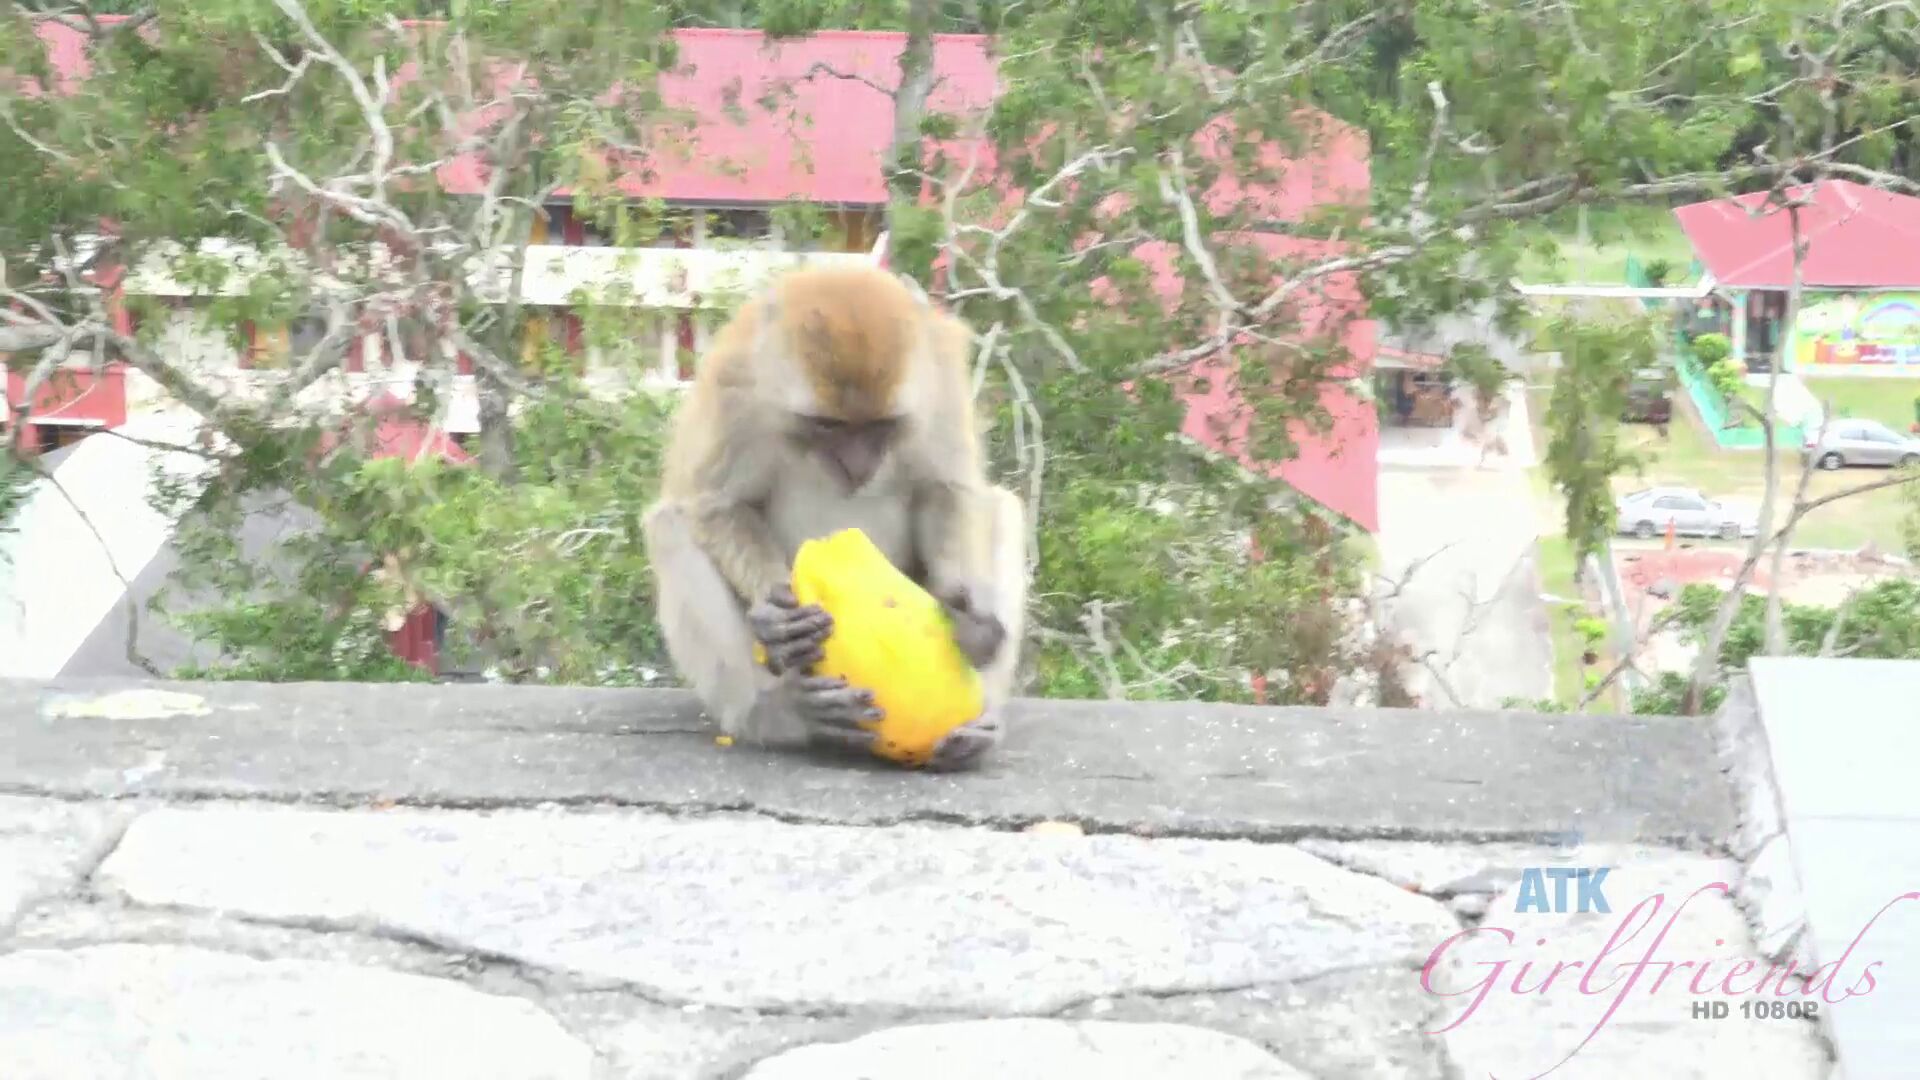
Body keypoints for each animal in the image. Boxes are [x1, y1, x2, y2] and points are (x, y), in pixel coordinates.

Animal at [641, 264, 1027, 770]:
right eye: (829, 425)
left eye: (881, 426)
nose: (858, 468)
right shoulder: (734, 385)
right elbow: (717, 503)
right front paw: (777, 619)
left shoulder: (940, 382)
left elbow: (946, 489)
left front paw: (973, 624)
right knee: (670, 526)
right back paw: (782, 713)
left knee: (1002, 507)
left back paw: (976, 730)